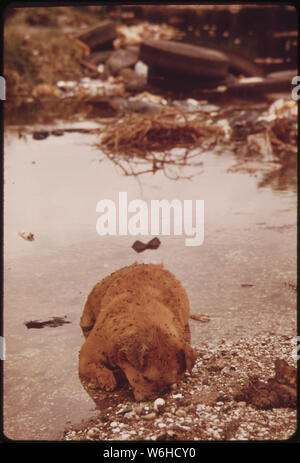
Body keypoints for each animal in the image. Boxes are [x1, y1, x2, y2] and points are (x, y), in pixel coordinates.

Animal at [78, 262, 198, 400]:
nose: (150, 398)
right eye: (145, 378)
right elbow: (98, 367)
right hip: (89, 311)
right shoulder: (85, 357)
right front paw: (107, 379)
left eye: (169, 384)